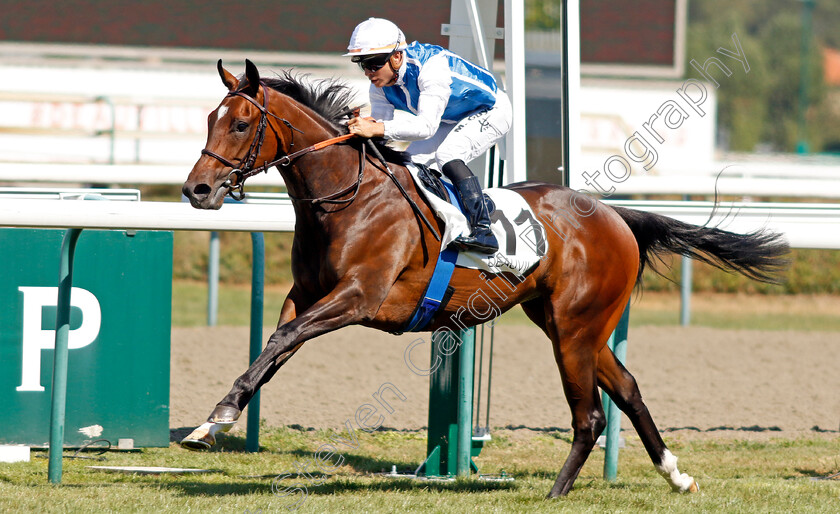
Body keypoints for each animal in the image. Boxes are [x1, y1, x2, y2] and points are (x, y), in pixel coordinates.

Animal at [179, 60, 788, 496]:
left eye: (240, 123)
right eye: (209, 120)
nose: (196, 190)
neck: (348, 198)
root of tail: (615, 215)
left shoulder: (358, 297)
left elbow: (283, 338)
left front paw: (218, 419)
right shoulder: (305, 295)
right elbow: (274, 347)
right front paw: (212, 423)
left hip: (575, 329)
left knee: (590, 414)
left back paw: (557, 492)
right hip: (569, 324)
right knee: (629, 389)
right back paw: (675, 475)